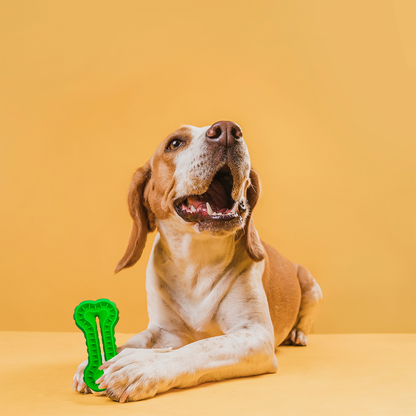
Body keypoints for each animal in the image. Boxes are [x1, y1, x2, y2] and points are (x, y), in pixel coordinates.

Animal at [73, 121, 324, 404]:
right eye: (174, 143)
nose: (227, 130)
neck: (197, 263)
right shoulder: (164, 331)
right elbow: (133, 341)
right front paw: (97, 361)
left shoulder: (255, 335)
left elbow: (201, 346)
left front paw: (141, 366)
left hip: (311, 285)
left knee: (305, 319)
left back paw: (297, 334)